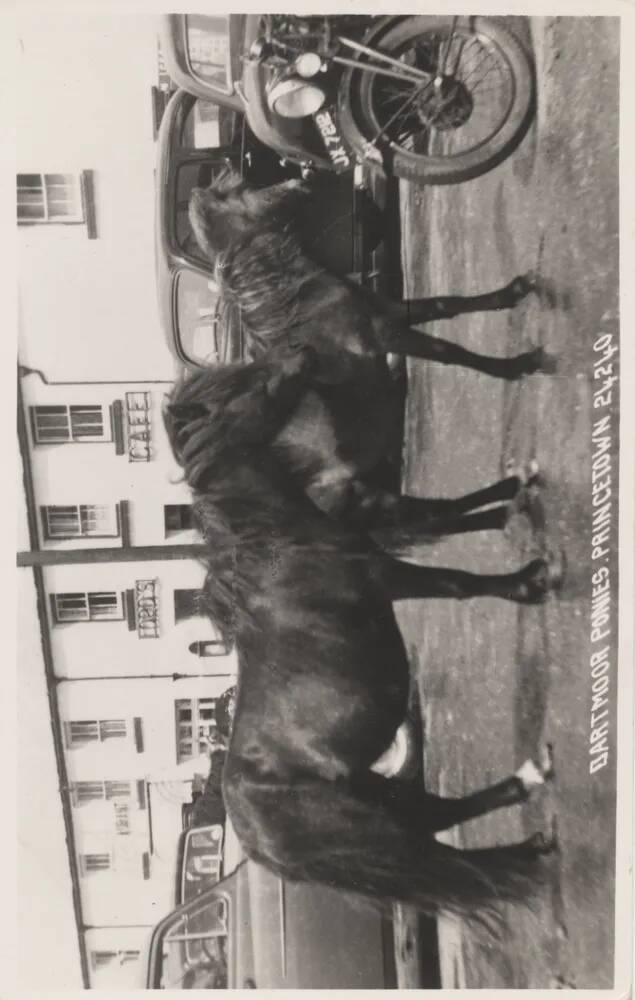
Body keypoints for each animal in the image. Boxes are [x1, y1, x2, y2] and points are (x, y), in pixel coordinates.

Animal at [164, 348, 560, 924]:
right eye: (249, 390)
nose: (303, 355)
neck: (275, 552)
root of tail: (258, 846)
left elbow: (446, 513)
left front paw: (518, 490)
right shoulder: (385, 576)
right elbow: (459, 582)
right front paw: (533, 579)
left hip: (375, 793)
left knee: (439, 814)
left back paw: (533, 780)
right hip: (373, 823)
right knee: (437, 837)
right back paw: (535, 836)